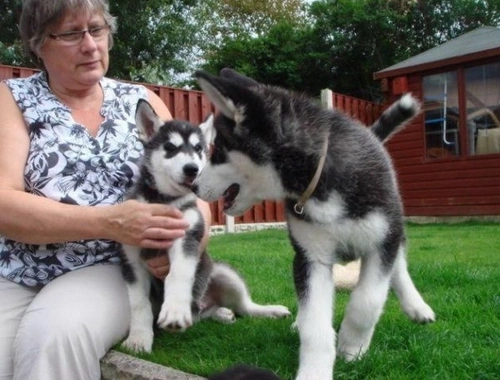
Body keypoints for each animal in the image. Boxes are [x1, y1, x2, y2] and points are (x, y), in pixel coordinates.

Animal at [119, 100, 292, 354]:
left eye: (199, 148)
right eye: (170, 147)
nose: (192, 168)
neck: (164, 201)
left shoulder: (188, 237)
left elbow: (178, 273)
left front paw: (175, 310)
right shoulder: (131, 260)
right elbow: (139, 304)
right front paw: (138, 339)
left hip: (223, 273)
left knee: (245, 307)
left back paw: (269, 310)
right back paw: (220, 313)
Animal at [193, 69, 436, 380]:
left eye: (219, 151)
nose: (194, 185)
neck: (318, 179)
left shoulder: (381, 242)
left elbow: (367, 300)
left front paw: (352, 345)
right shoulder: (310, 257)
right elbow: (315, 323)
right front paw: (315, 368)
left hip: (392, 227)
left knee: (399, 265)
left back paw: (416, 307)